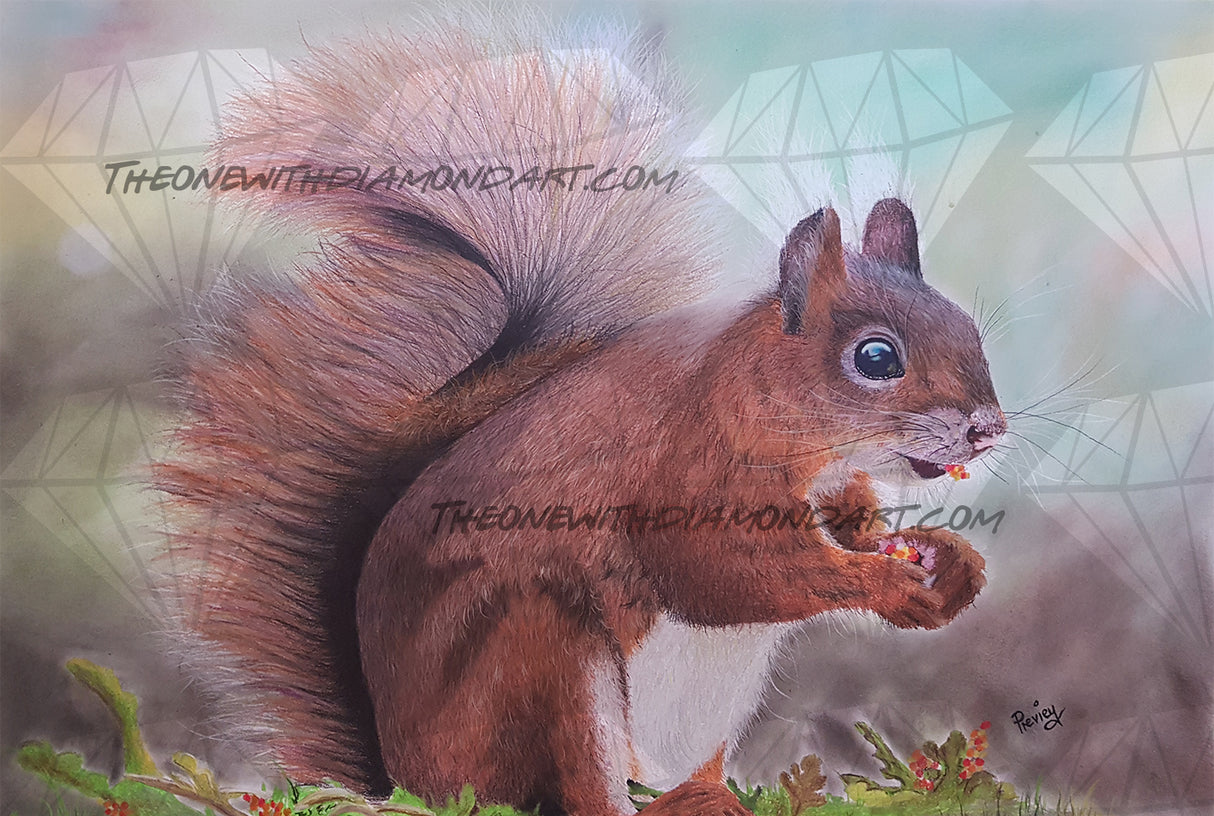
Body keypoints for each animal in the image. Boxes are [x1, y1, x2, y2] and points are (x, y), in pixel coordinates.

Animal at [156, 15, 1006, 816]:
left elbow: (855, 527)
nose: (988, 428)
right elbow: (727, 569)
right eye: (876, 358)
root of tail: (407, 777)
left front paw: (947, 561)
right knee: (575, 785)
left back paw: (705, 797)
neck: (784, 420)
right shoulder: (689, 471)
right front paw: (886, 584)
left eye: (969, 327)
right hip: (540, 655)